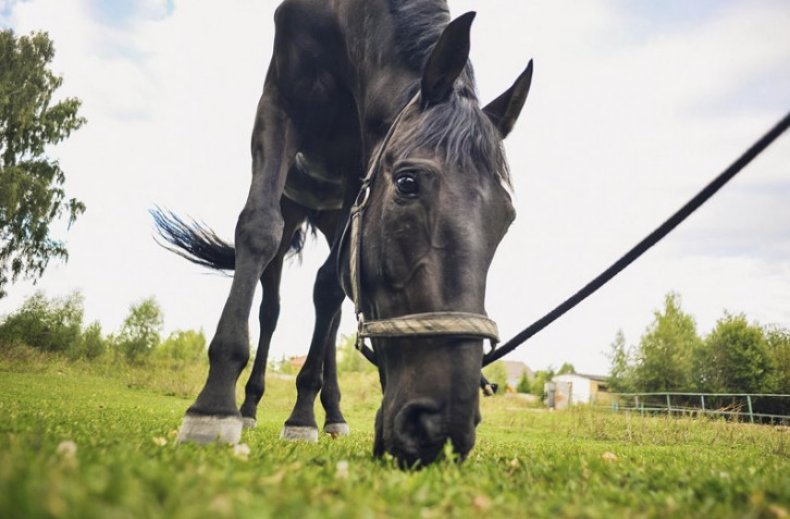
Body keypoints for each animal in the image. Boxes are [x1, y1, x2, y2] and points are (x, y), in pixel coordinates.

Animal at [154, 0, 532, 468]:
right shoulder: (277, 106)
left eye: (507, 217)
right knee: (271, 307)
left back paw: (329, 413)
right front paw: (213, 406)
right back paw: (249, 407)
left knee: (330, 308)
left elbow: (331, 288)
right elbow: (257, 230)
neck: (342, 18)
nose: (441, 430)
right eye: (407, 183)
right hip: (294, 210)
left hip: (336, 216)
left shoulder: (358, 163)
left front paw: (302, 417)